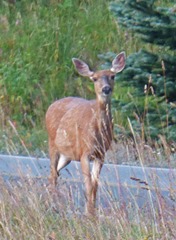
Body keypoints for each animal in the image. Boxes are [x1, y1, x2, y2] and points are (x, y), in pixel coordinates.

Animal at [45, 51, 125, 216]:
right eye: (94, 79)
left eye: (112, 76)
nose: (106, 89)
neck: (98, 132)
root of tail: (51, 106)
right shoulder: (85, 152)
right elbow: (88, 184)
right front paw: (88, 213)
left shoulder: (101, 154)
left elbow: (95, 185)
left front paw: (92, 211)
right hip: (52, 144)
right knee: (53, 174)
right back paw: (53, 204)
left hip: (67, 155)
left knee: (54, 174)